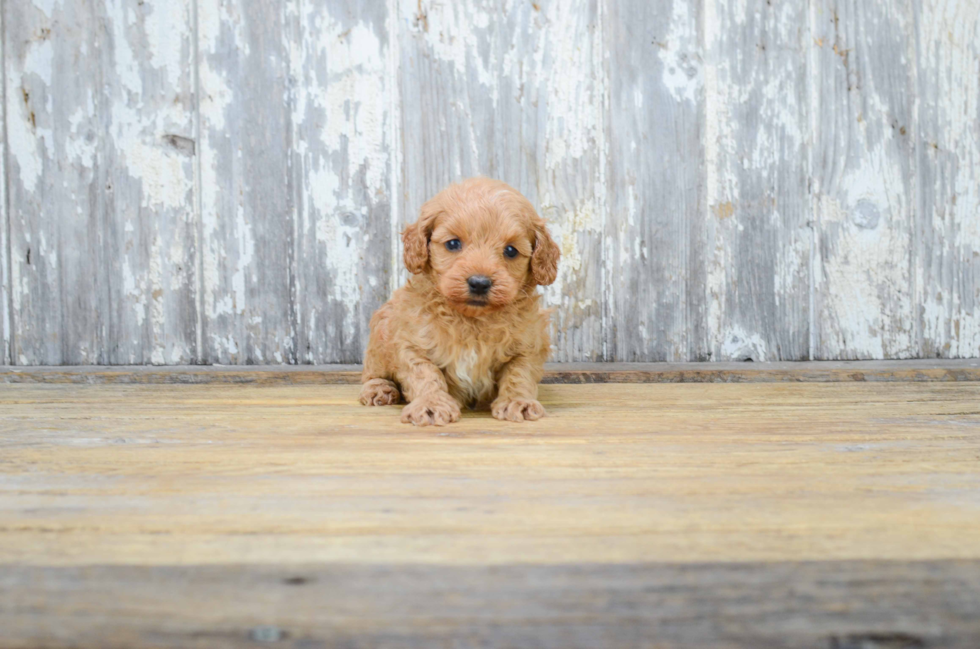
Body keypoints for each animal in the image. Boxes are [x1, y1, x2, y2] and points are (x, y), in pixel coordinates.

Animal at [358, 177, 560, 426]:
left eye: (511, 250)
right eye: (453, 244)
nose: (479, 283)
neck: (472, 320)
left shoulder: (529, 344)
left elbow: (519, 373)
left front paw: (517, 401)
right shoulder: (411, 342)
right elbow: (425, 374)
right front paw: (431, 404)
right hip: (381, 331)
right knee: (372, 373)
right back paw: (379, 389)